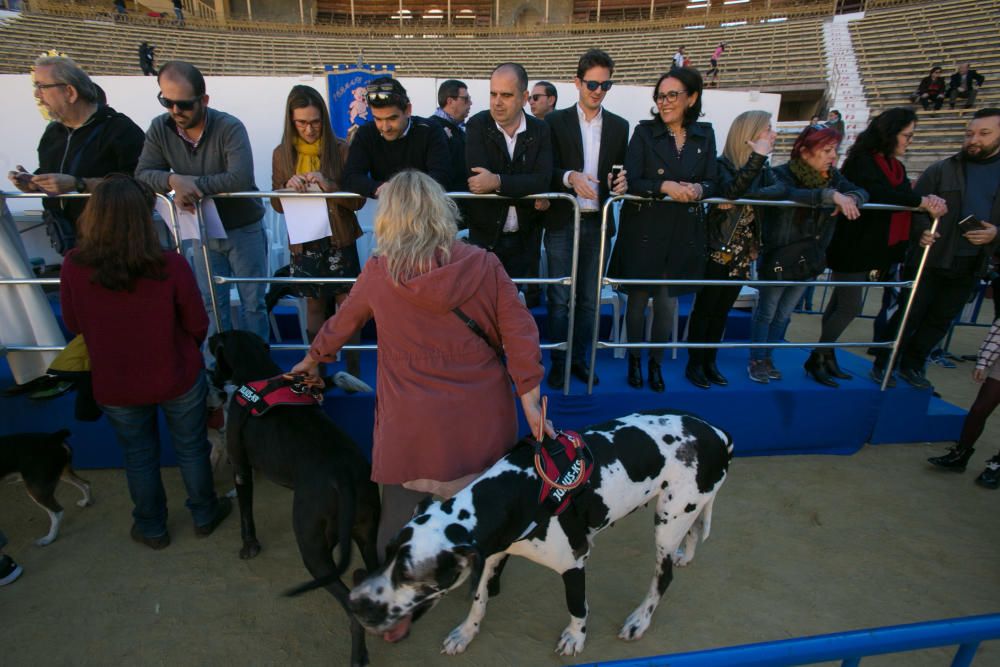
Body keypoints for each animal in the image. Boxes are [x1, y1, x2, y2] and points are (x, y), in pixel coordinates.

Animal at [209, 332, 380, 664]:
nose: (210, 376)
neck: (257, 370)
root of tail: (343, 476)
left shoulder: (241, 467)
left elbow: (246, 511)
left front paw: (249, 546)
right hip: (365, 531)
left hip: (312, 544)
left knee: (351, 610)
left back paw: (359, 655)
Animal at [348, 410, 732, 656]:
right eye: (386, 555)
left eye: (409, 574)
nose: (354, 603)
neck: (518, 491)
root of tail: (718, 432)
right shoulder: (491, 555)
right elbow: (478, 600)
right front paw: (466, 633)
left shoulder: (574, 563)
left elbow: (577, 606)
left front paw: (576, 638)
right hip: (686, 510)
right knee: (694, 532)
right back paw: (686, 556)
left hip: (666, 523)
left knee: (661, 578)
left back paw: (640, 619)